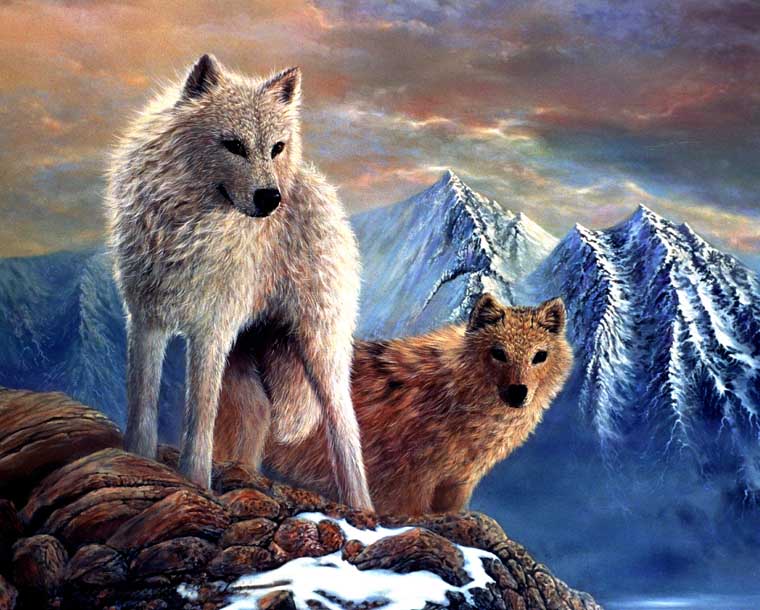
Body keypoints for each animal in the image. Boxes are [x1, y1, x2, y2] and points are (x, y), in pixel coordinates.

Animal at [106, 54, 372, 509]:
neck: (187, 227)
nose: (271, 198)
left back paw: (361, 506)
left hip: (319, 350)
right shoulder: (145, 320)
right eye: (233, 144)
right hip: (247, 366)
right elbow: (142, 403)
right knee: (258, 418)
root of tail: (322, 190)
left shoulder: (209, 331)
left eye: (275, 148)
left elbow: (199, 416)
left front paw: (194, 481)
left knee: (345, 426)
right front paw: (137, 460)